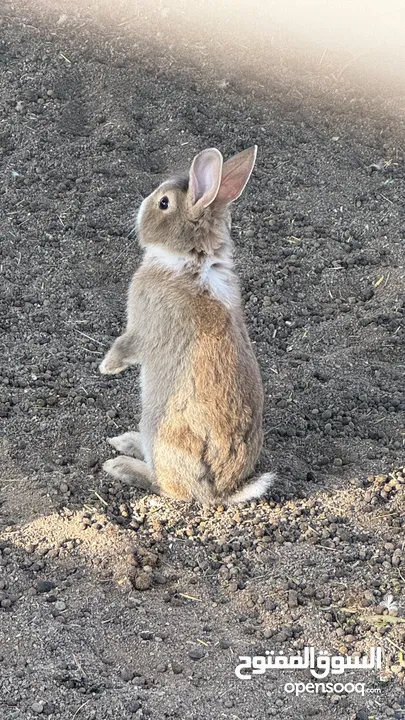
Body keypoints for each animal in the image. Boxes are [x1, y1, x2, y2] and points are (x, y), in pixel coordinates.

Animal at [99, 145, 274, 506]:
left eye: (164, 203)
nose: (141, 208)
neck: (193, 260)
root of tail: (220, 494)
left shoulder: (143, 325)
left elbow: (127, 346)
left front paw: (106, 367)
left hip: (161, 431)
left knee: (168, 488)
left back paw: (121, 463)